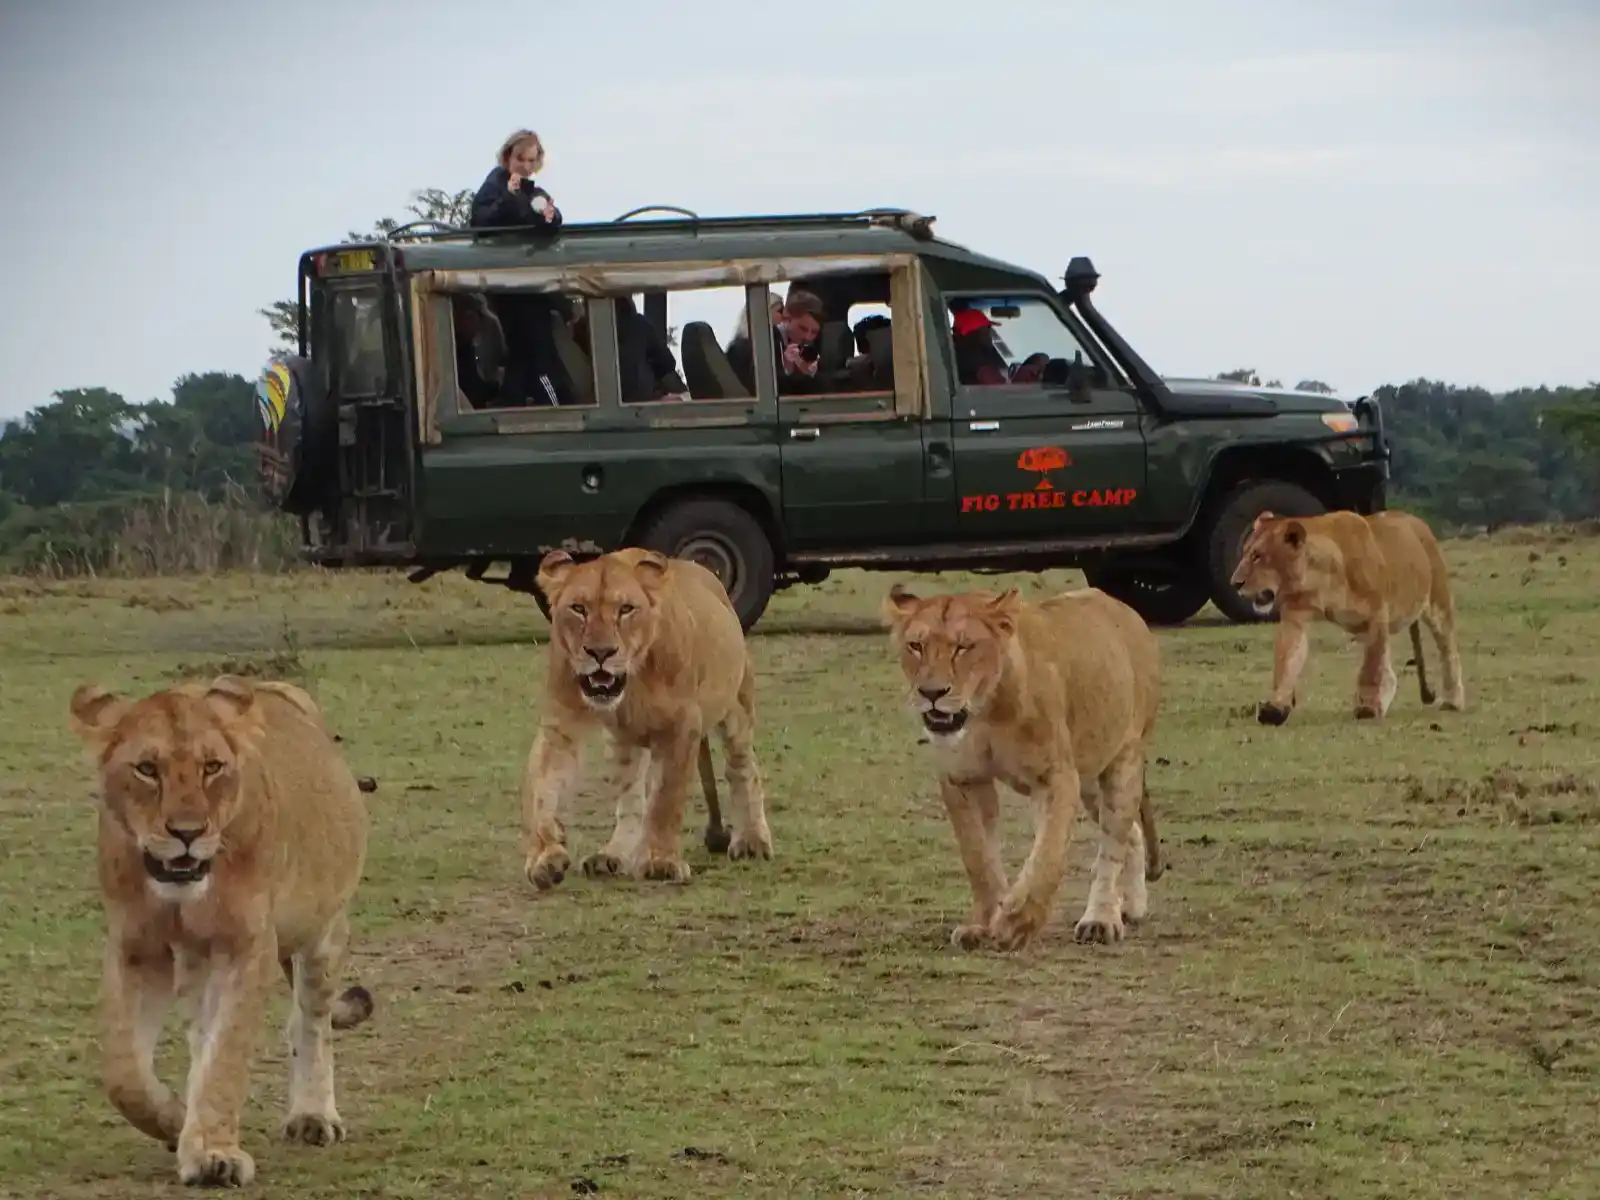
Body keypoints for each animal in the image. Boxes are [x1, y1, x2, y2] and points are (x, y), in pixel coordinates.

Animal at [68, 675, 373, 1189]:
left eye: (212, 767)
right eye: (147, 769)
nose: (188, 833)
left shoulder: (246, 947)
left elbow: (226, 1053)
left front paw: (213, 1155)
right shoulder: (136, 948)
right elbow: (124, 1073)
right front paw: (176, 1120)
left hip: (323, 930)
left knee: (311, 1021)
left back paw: (313, 1117)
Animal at [520, 546, 774, 889]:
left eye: (626, 609)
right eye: (578, 609)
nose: (601, 652)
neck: (631, 680)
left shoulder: (682, 726)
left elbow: (665, 800)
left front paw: (660, 861)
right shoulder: (560, 726)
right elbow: (540, 791)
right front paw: (545, 856)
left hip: (736, 706)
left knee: (743, 769)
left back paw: (751, 840)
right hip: (622, 742)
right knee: (630, 798)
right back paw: (611, 856)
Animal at [882, 582, 1165, 952]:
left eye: (963, 647)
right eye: (916, 646)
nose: (931, 693)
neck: (984, 710)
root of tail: (1123, 608)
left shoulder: (1056, 778)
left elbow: (1047, 856)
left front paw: (1017, 922)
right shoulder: (963, 778)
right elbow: (978, 857)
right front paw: (983, 924)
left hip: (1122, 761)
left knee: (1113, 840)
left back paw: (1101, 919)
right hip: (1090, 778)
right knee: (1131, 831)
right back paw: (1130, 908)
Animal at [1228, 508, 1465, 725]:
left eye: (1258, 556)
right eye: (1246, 552)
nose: (1234, 583)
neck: (1319, 578)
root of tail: (1417, 521)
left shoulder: (1377, 615)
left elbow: (1371, 668)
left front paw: (1368, 708)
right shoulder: (1295, 616)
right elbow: (1287, 658)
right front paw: (1275, 708)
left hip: (1437, 603)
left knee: (1448, 651)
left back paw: (1453, 701)